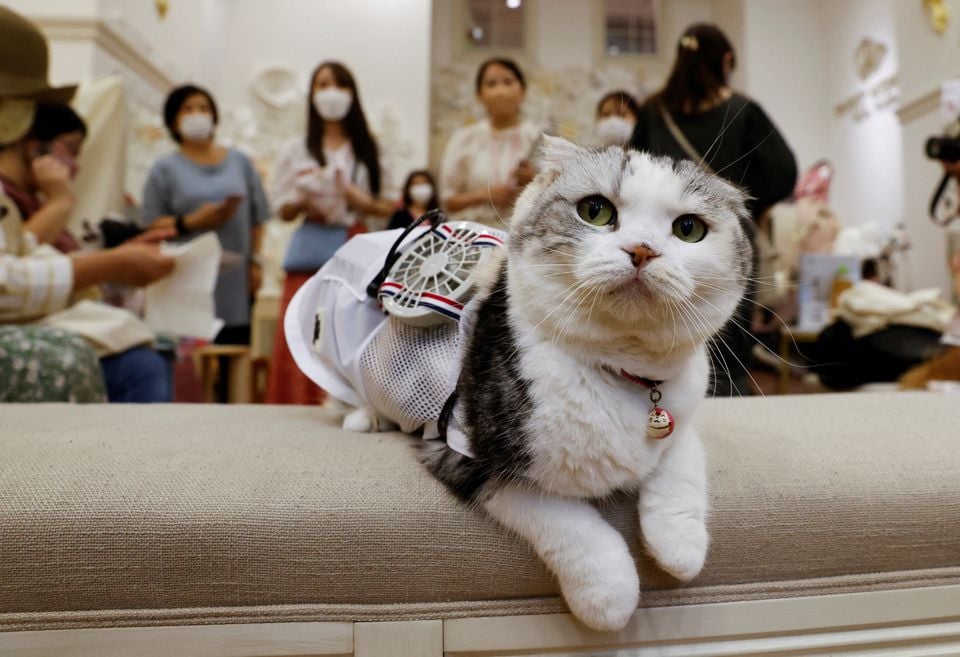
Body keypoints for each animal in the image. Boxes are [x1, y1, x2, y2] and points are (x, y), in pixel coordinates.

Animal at [344, 137, 752, 632]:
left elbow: (681, 464)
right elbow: (567, 522)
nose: (642, 250)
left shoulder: (680, 413)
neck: (620, 371)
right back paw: (363, 418)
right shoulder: (470, 455)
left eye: (689, 228)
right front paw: (608, 595)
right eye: (595, 210)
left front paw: (680, 543)